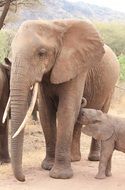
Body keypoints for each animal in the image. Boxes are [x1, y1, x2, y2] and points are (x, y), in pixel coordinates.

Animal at [9, 18, 119, 181]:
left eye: (41, 53)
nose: (23, 178)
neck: (54, 25)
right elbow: (46, 113)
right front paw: (47, 166)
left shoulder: (76, 67)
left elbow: (66, 109)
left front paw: (59, 175)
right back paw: (74, 159)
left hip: (111, 86)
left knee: (101, 112)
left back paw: (94, 158)